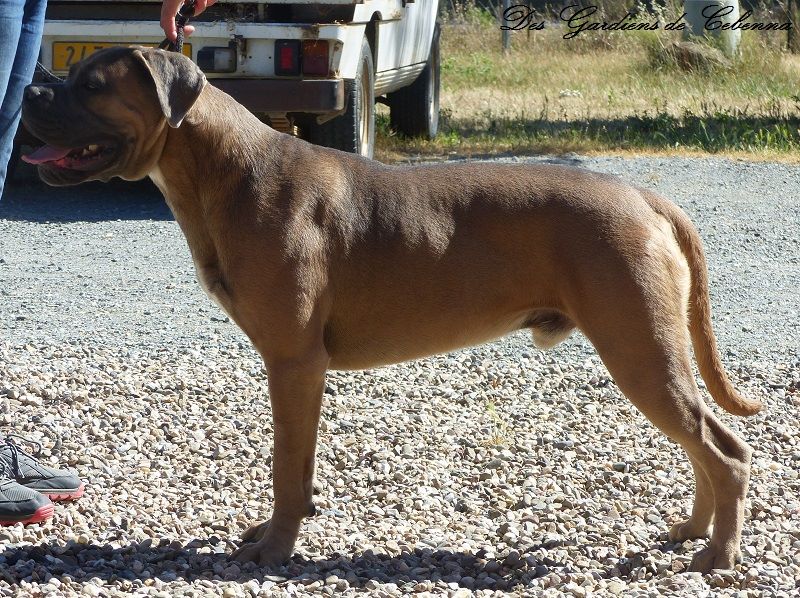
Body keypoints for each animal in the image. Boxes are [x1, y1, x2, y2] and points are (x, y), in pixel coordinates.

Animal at [21, 47, 761, 573]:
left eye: (92, 84)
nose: (31, 90)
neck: (222, 168)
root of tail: (645, 198)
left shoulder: (294, 363)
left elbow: (285, 465)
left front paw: (275, 549)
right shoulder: (300, 371)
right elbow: (299, 465)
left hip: (640, 350)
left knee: (723, 450)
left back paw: (715, 555)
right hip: (650, 352)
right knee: (704, 444)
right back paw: (691, 531)